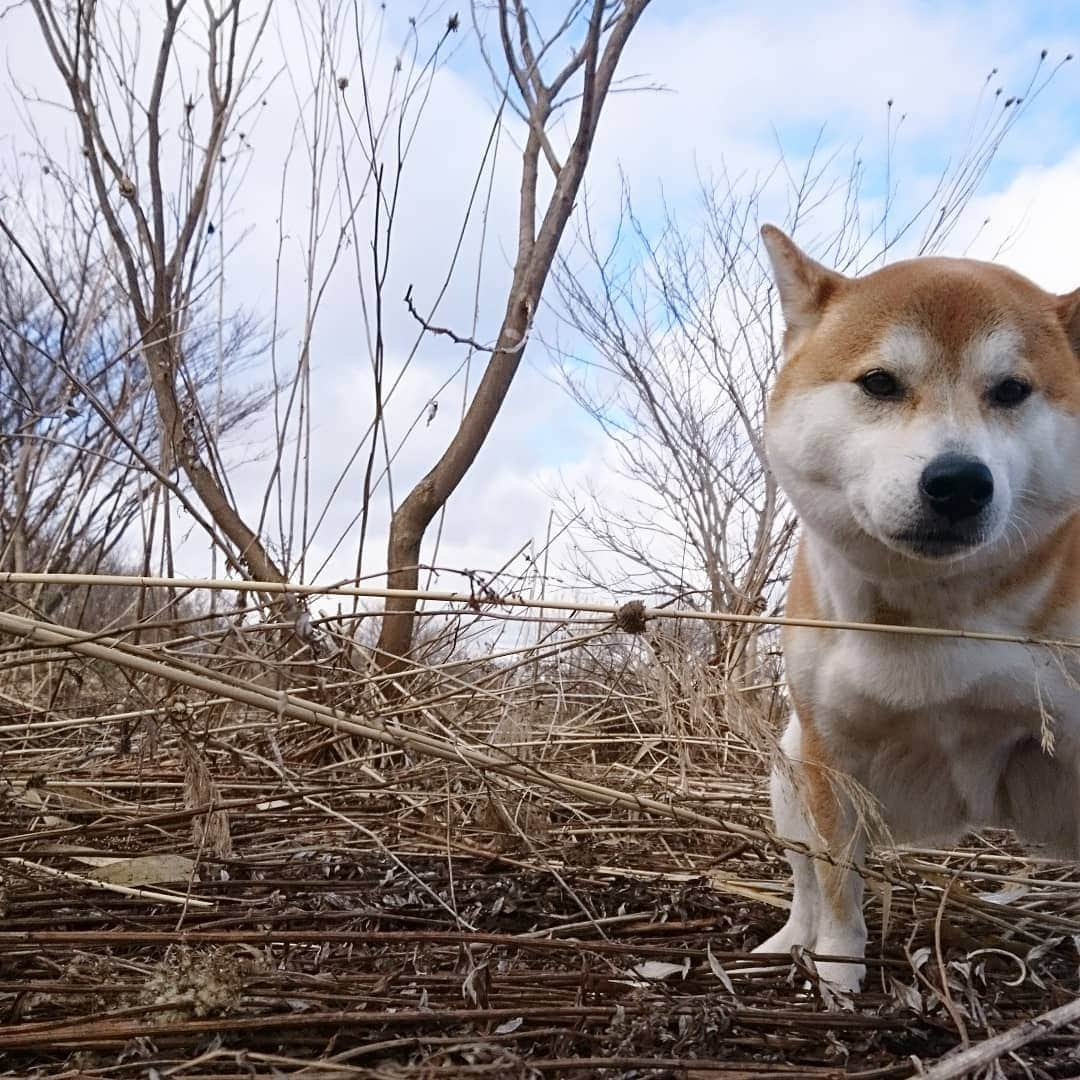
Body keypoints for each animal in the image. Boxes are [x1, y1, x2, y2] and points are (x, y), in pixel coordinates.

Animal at [751, 223, 1080, 989]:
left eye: (1012, 391)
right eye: (880, 382)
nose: (958, 481)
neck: (931, 612)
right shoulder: (831, 754)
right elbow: (837, 885)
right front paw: (839, 978)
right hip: (790, 770)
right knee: (805, 877)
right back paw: (792, 942)